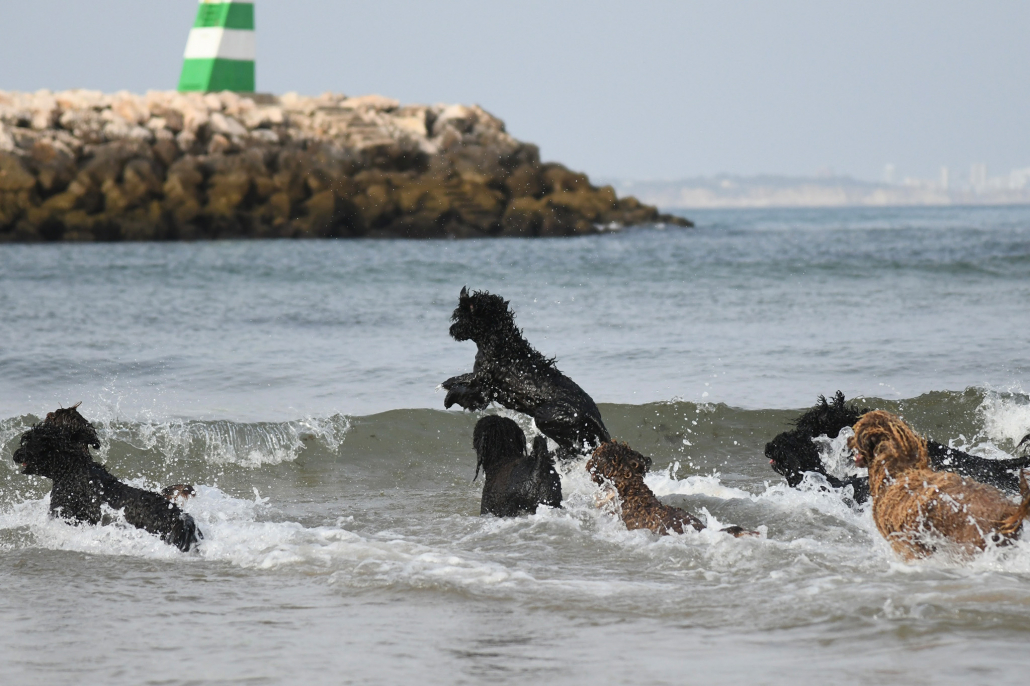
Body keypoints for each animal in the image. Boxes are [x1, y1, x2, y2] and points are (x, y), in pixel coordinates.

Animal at [442, 287, 610, 458]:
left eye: (460, 316)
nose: (451, 330)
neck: (499, 344)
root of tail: (591, 413)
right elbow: (462, 378)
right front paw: (447, 383)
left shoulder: (483, 389)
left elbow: (465, 389)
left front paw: (449, 396)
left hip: (546, 417)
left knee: (573, 447)